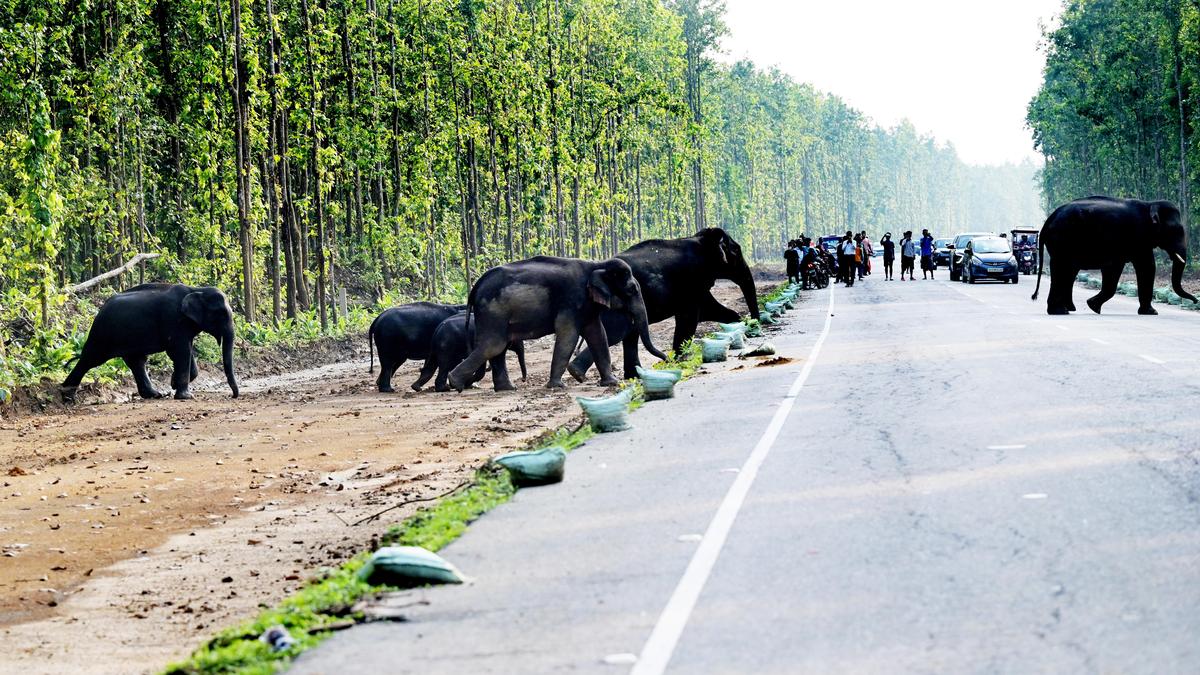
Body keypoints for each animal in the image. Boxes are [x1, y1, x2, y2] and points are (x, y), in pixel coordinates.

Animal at [61, 283, 239, 402]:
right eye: (221, 313)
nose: (233, 396)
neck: (196, 289)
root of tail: (100, 309)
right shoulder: (173, 320)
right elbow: (180, 351)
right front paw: (186, 396)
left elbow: (186, 351)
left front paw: (173, 384)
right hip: (102, 335)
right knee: (90, 360)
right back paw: (67, 395)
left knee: (137, 362)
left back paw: (155, 395)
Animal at [447, 256, 667, 391]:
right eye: (631, 290)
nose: (666, 359)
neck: (597, 264)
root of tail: (475, 288)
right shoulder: (571, 300)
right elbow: (568, 335)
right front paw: (557, 386)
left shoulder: (586, 306)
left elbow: (598, 335)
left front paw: (611, 383)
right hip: (492, 312)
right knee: (494, 345)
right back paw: (456, 384)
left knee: (497, 348)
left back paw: (506, 388)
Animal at [567, 228, 759, 381]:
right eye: (737, 250)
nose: (755, 327)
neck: (701, 239)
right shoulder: (692, 280)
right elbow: (690, 317)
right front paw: (681, 360)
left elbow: (709, 309)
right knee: (616, 332)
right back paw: (578, 373)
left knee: (628, 333)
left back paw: (630, 376)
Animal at [1031, 196, 1198, 315]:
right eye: (1175, 230)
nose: (1195, 301)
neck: (1150, 204)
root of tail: (1048, 221)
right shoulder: (1138, 237)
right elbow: (1146, 266)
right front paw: (1152, 312)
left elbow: (1118, 268)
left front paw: (1092, 305)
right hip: (1062, 240)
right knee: (1062, 269)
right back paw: (1060, 311)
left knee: (1066, 271)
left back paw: (1066, 309)